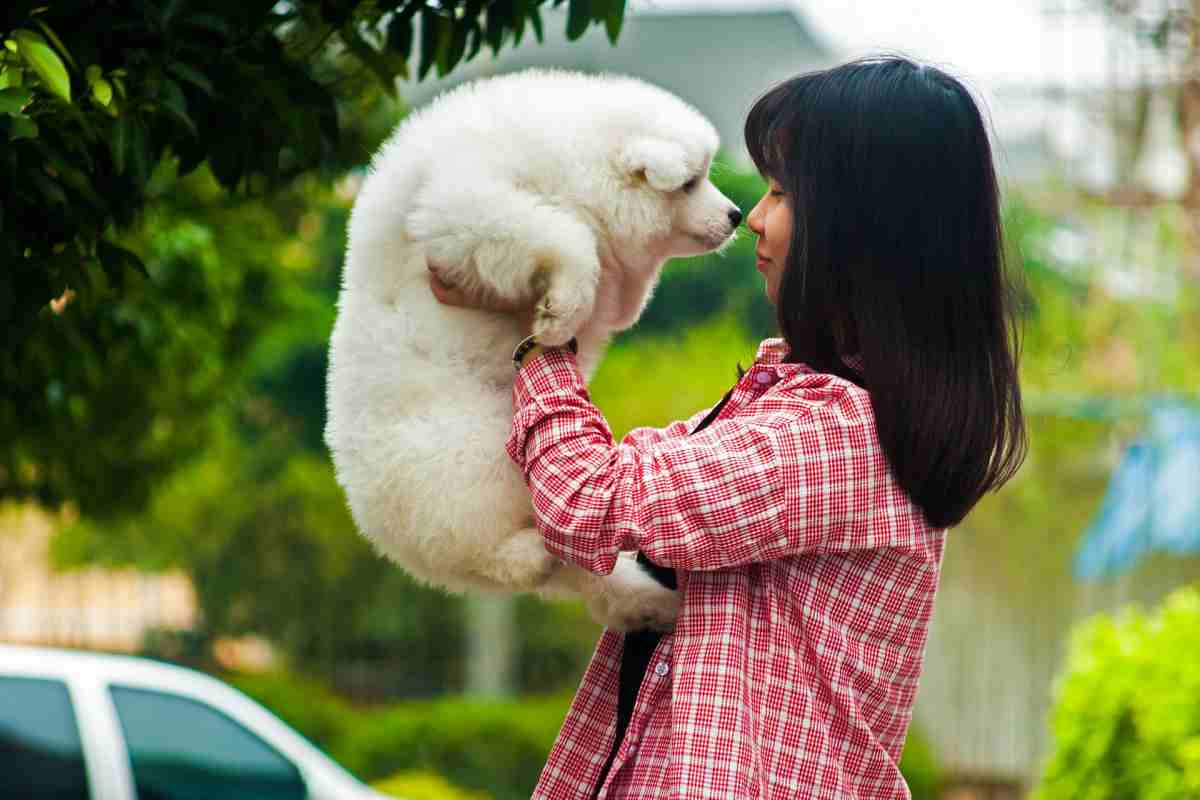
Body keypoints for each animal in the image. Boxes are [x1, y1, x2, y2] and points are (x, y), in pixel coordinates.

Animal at [328, 68, 739, 633]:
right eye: (690, 183)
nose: (737, 214)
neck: (574, 161)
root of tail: (374, 520)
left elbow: (616, 285)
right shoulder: (469, 202)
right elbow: (566, 237)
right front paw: (560, 312)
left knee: (586, 571)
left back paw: (652, 604)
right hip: (467, 454)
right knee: (482, 548)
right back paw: (532, 555)